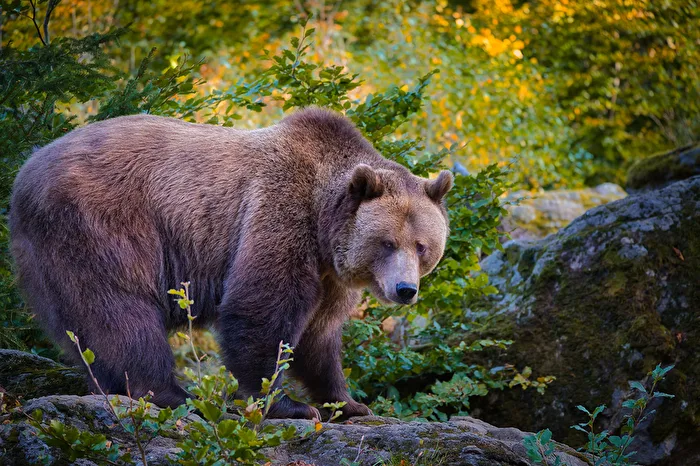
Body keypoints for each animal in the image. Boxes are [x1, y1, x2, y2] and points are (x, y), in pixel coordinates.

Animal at [9, 107, 453, 419]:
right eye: (387, 242)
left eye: (422, 246)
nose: (405, 289)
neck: (323, 224)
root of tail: (25, 170)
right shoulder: (276, 213)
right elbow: (260, 308)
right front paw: (286, 404)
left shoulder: (331, 274)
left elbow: (320, 337)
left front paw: (348, 403)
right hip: (101, 223)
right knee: (119, 310)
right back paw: (172, 393)